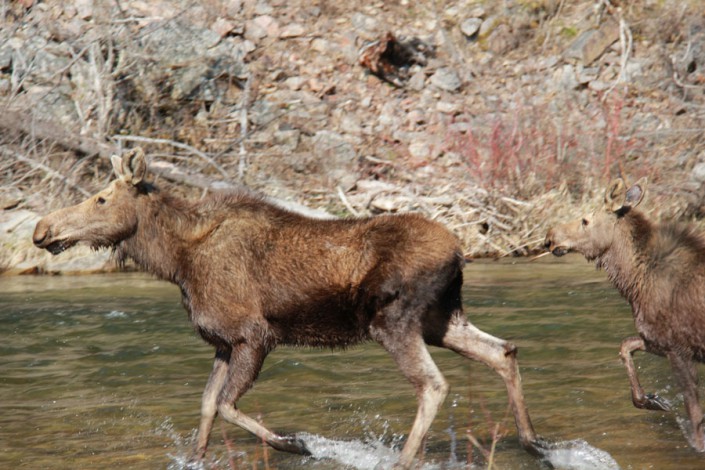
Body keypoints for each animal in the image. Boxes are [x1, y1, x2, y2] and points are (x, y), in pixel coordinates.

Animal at [34, 148, 552, 466]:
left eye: (101, 197)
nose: (42, 229)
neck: (176, 262)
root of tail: (462, 251)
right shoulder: (221, 341)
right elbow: (206, 406)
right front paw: (197, 457)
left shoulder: (253, 335)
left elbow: (226, 405)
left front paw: (295, 443)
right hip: (440, 319)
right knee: (502, 350)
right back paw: (533, 442)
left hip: (393, 320)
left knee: (433, 384)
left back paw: (404, 460)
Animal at [544, 177, 704, 452]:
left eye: (585, 220)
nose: (550, 236)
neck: (633, 285)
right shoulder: (656, 339)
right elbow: (625, 346)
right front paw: (651, 400)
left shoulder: (679, 347)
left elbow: (695, 418)